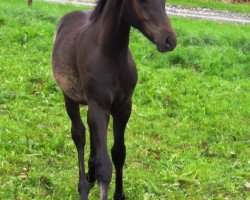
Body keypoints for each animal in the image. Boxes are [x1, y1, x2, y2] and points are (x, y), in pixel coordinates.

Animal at [51, 0, 176, 198]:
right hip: (70, 97)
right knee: (79, 135)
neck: (111, 55)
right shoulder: (99, 108)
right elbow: (105, 166)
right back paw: (83, 186)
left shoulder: (123, 108)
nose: (169, 40)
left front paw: (119, 194)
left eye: (164, 2)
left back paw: (91, 174)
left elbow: (119, 153)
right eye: (141, 1)